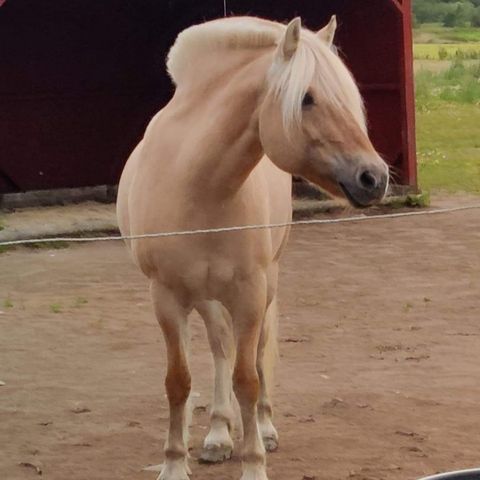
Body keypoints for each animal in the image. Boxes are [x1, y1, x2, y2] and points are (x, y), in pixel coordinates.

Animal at [117, 15, 390, 480]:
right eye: (307, 98)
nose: (375, 177)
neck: (198, 185)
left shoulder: (250, 293)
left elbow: (248, 377)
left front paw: (254, 462)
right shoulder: (166, 297)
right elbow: (178, 381)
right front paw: (174, 463)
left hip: (265, 285)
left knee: (257, 353)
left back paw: (260, 430)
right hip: (205, 296)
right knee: (220, 346)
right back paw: (217, 435)